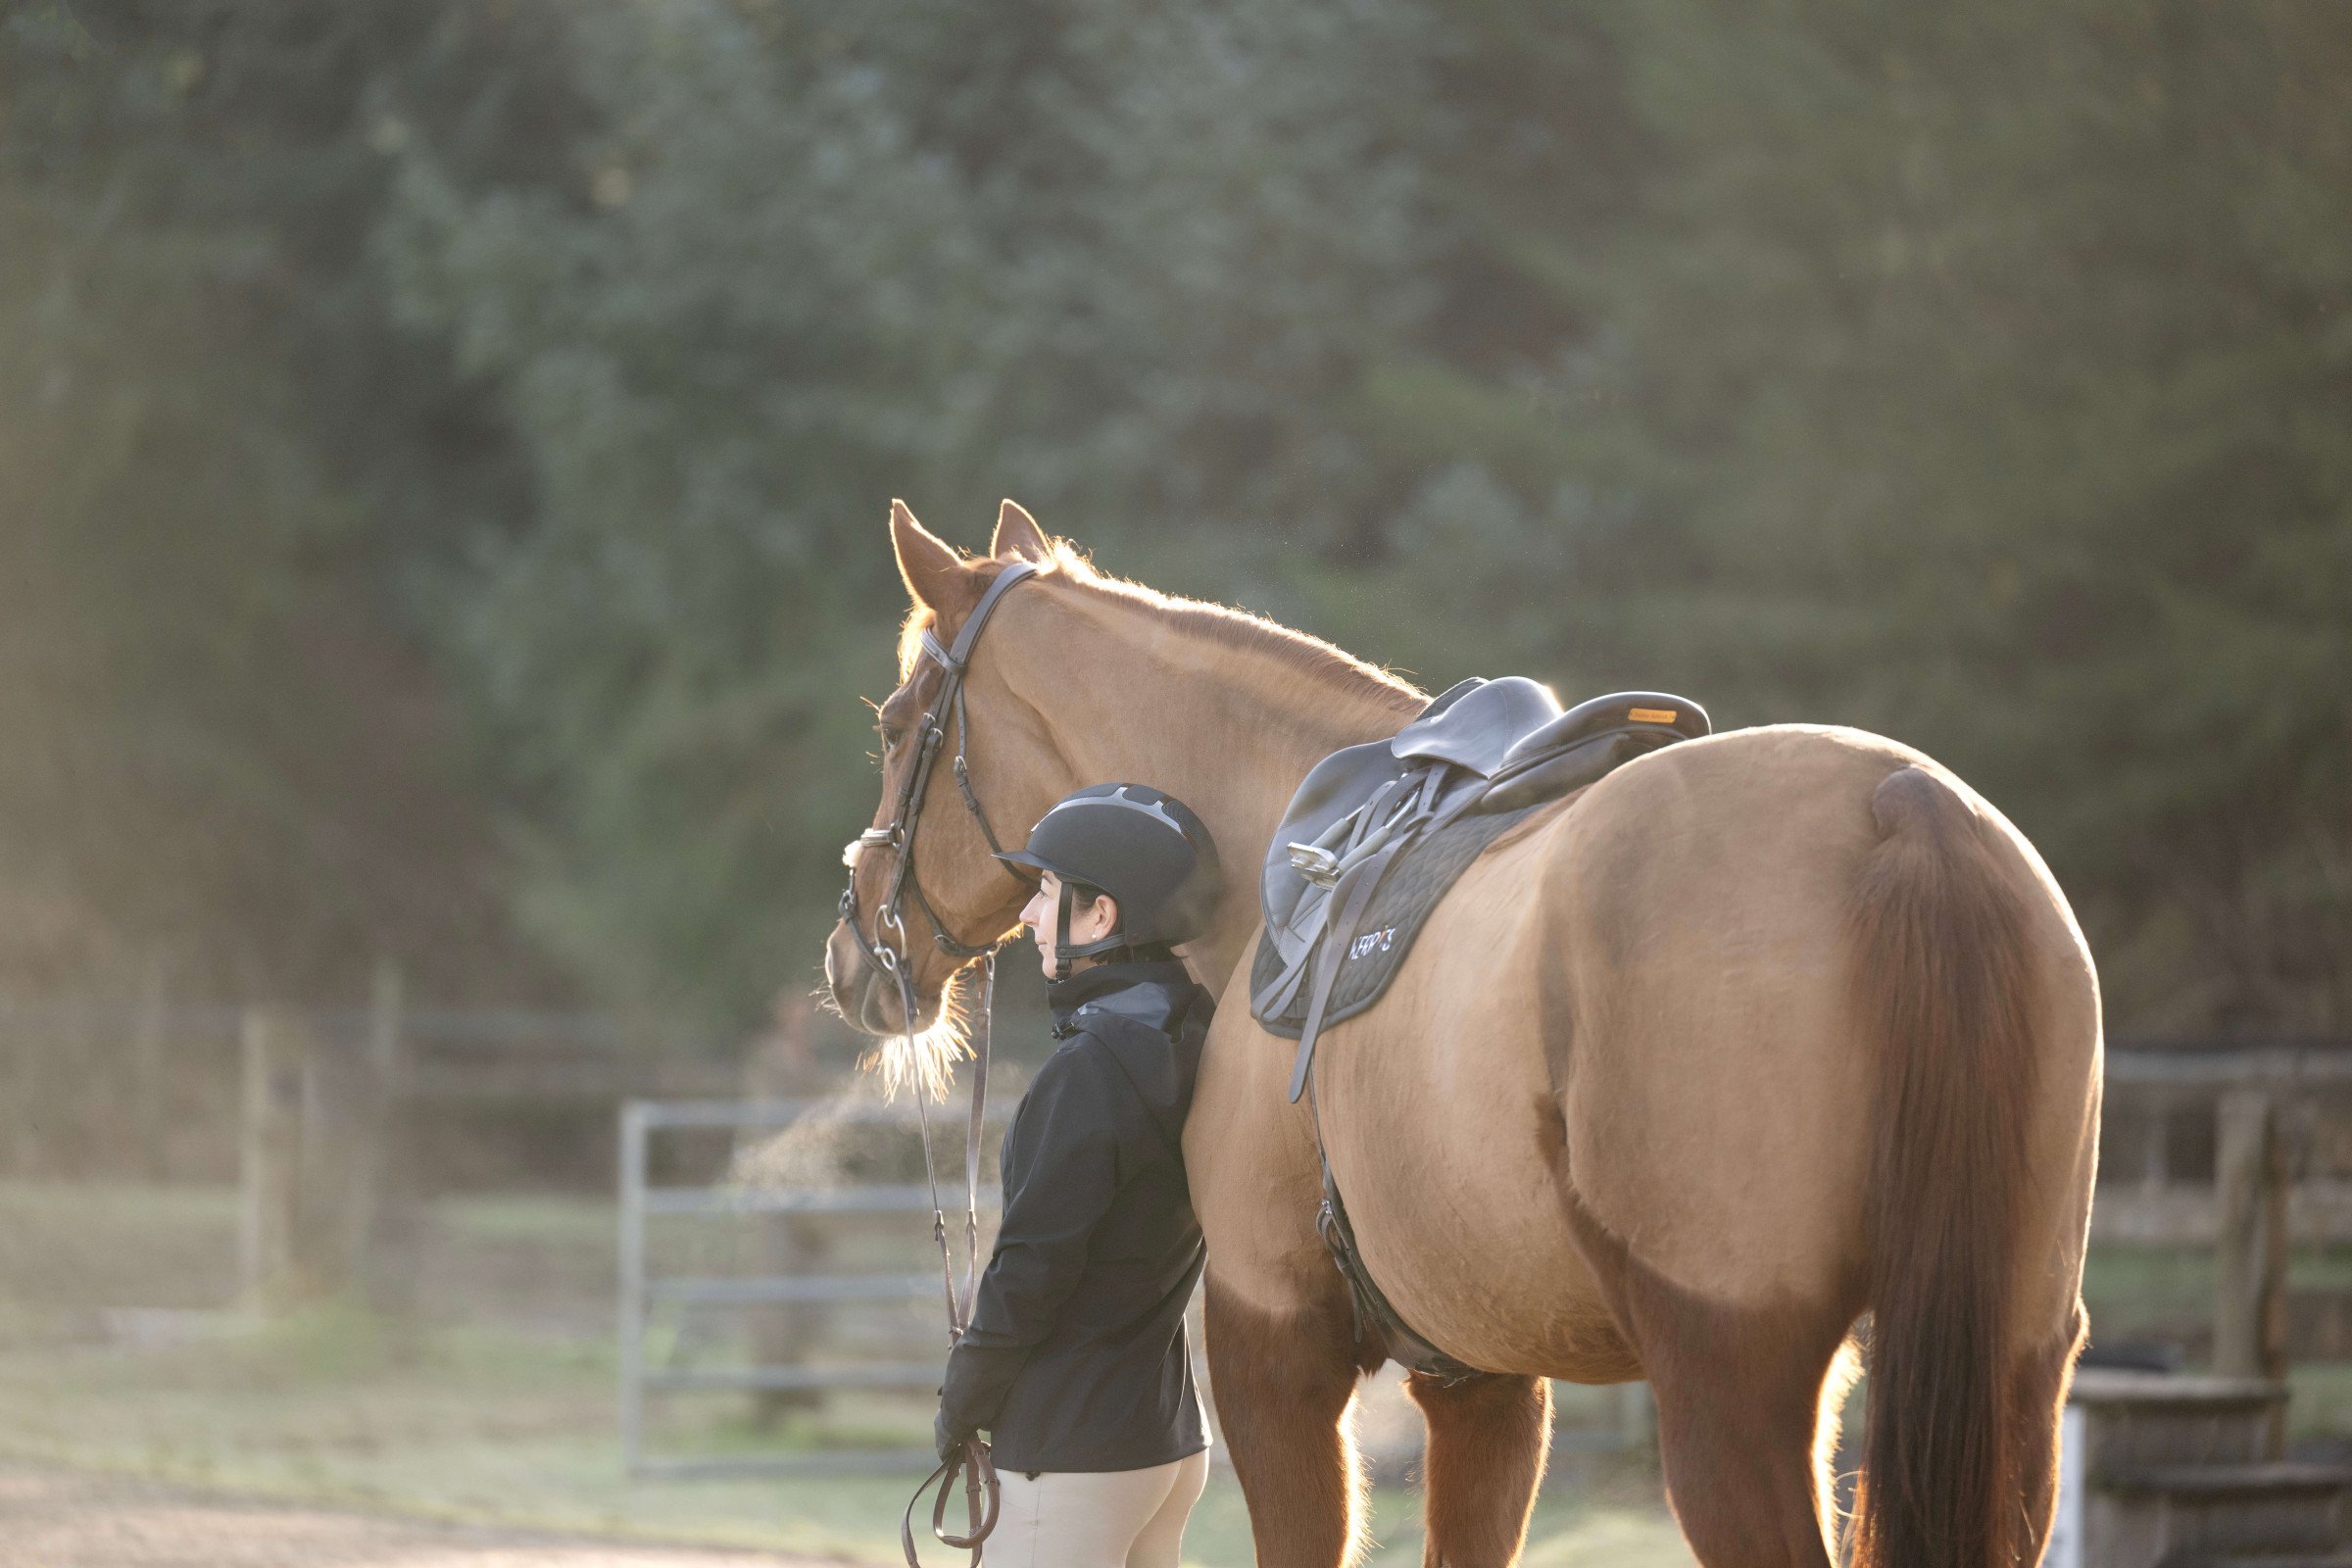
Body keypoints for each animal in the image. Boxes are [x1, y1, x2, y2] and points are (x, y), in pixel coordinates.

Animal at [823, 503, 2097, 1568]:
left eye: (894, 726)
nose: (853, 950)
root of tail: (1901, 810)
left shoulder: (1272, 1342)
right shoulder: (1483, 1380)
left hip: (1733, 1385)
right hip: (2011, 1366)